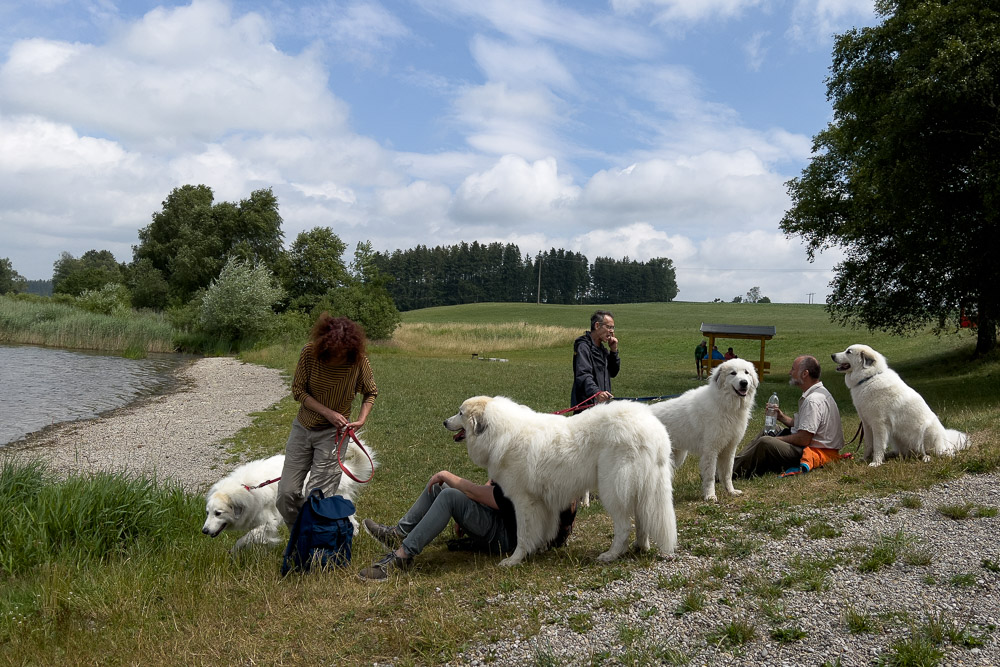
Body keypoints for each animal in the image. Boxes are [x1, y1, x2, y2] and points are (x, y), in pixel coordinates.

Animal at [201, 438, 376, 552]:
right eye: (208, 513)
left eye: (218, 513)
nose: (204, 531)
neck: (247, 490)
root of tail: (345, 468)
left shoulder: (268, 522)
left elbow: (246, 538)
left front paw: (234, 552)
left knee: (351, 522)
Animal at [442, 400, 676, 568]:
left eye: (460, 413)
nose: (444, 422)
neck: (501, 433)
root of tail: (654, 430)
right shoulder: (543, 502)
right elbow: (543, 529)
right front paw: (539, 549)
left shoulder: (524, 501)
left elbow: (523, 534)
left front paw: (514, 560)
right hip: (641, 486)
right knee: (643, 517)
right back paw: (641, 546)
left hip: (613, 489)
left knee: (625, 526)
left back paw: (611, 555)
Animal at [648, 360, 756, 500]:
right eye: (733, 373)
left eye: (747, 372)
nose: (744, 382)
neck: (724, 404)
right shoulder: (710, 450)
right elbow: (710, 476)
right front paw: (710, 496)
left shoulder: (729, 449)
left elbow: (727, 474)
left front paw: (731, 491)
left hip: (677, 457)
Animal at [828, 348, 968, 468]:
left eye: (849, 351)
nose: (832, 355)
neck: (869, 378)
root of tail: (947, 441)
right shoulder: (867, 424)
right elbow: (868, 444)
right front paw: (864, 459)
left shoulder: (879, 424)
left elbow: (878, 445)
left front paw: (875, 463)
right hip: (897, 438)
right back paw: (891, 454)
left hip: (928, 431)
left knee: (940, 453)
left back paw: (927, 457)